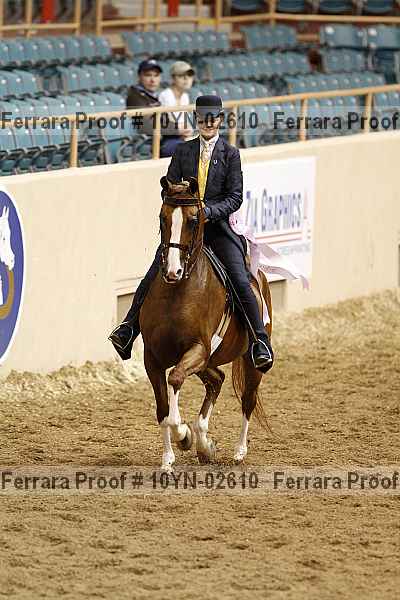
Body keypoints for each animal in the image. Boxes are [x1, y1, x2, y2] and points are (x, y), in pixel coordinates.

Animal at [140, 177, 272, 472]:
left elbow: (175, 381)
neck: (178, 292)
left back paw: (238, 452)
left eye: (192, 220)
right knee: (217, 380)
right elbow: (163, 410)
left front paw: (183, 436)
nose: (173, 271)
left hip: (249, 362)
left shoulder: (197, 349)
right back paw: (204, 444)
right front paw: (168, 459)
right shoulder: (152, 358)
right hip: (207, 362)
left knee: (248, 398)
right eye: (163, 217)